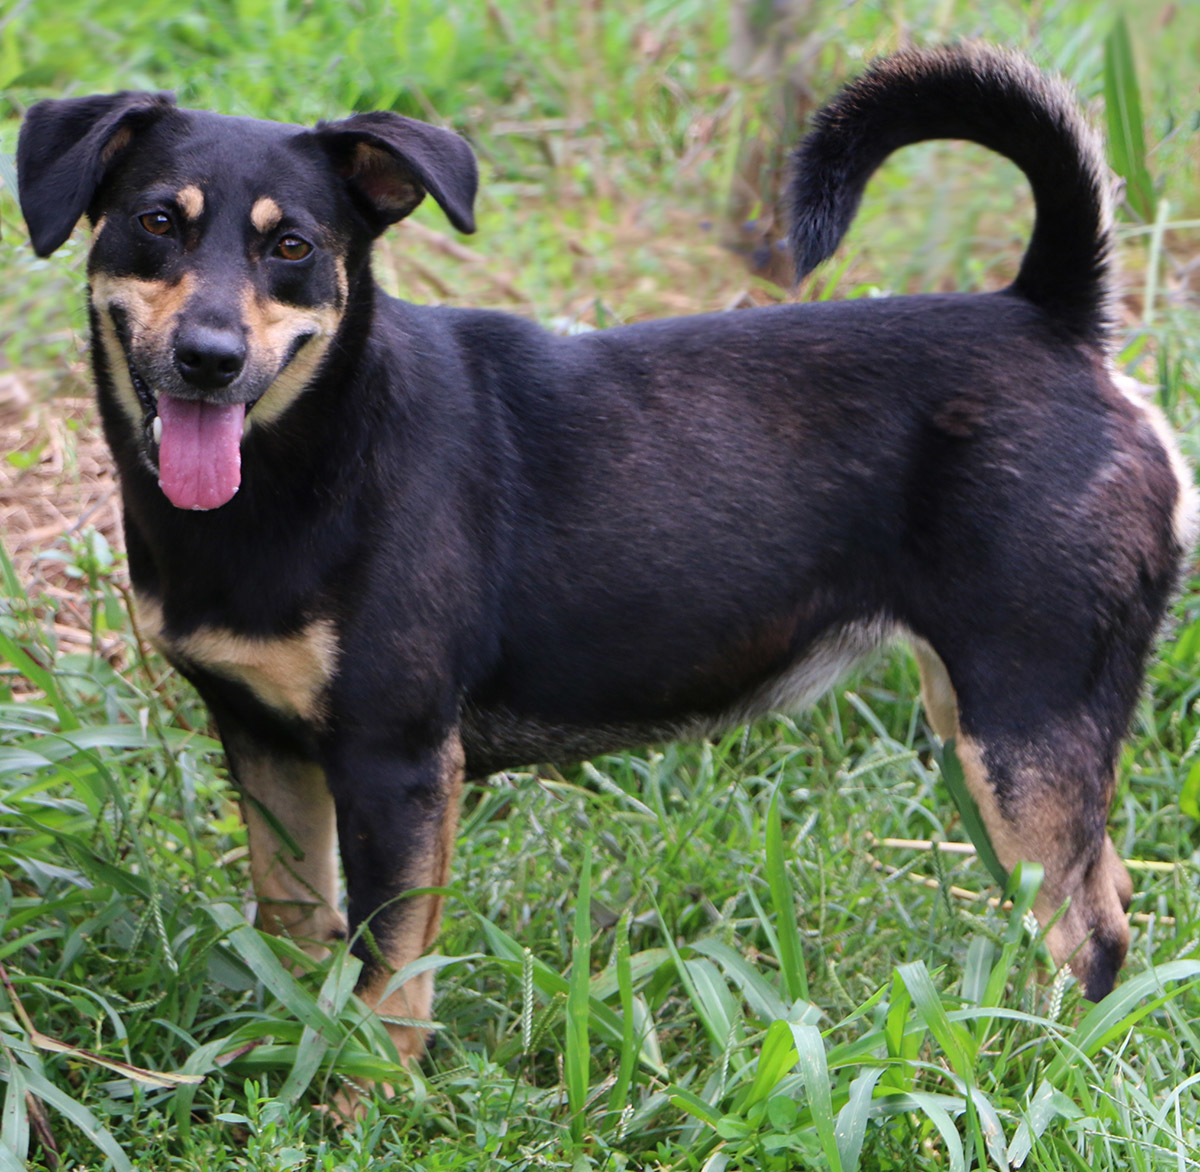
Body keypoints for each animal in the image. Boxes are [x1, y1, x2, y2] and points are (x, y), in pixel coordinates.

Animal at [14, 43, 1195, 1060]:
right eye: (157, 223)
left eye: (292, 247)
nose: (208, 359)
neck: (311, 458)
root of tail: (1055, 320)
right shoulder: (263, 741)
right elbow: (297, 932)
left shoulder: (398, 764)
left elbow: (389, 981)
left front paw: (364, 1107)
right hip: (994, 722)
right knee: (1106, 895)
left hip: (1024, 722)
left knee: (1090, 934)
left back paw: (1033, 1066)